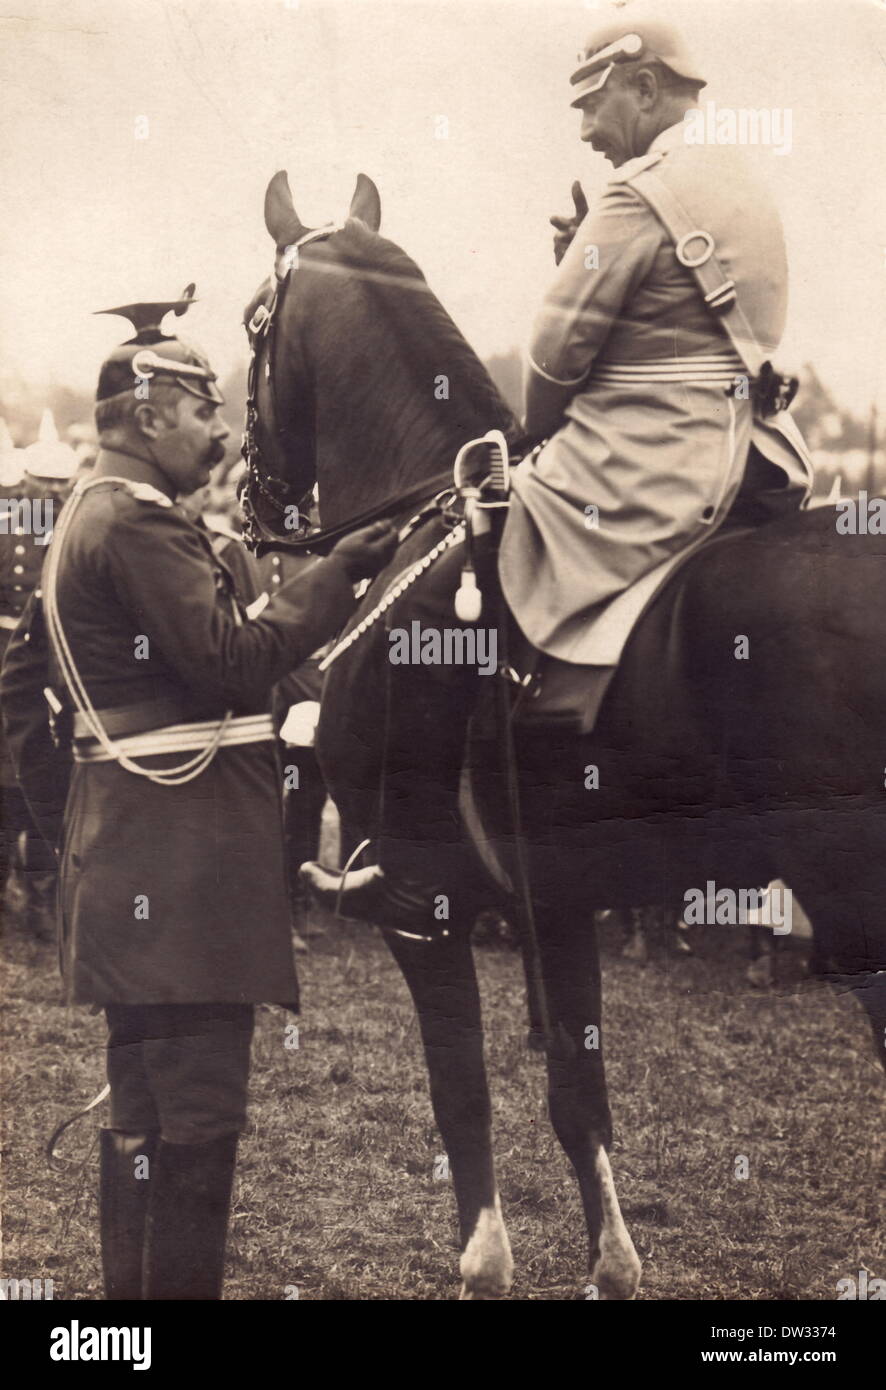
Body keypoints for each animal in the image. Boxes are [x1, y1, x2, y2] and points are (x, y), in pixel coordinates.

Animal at [242, 173, 884, 1301]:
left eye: (252, 324)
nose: (246, 492)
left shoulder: (425, 913)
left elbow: (463, 1099)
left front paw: (484, 1261)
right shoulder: (562, 900)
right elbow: (579, 1101)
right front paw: (612, 1264)